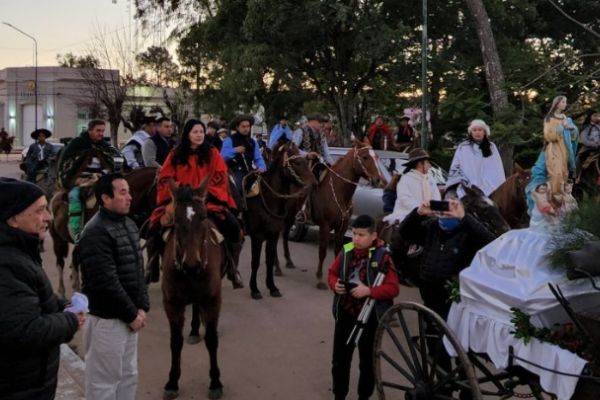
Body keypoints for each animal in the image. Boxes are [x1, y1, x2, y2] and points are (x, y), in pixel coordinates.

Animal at [161, 178, 224, 400]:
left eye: (203, 216)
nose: (191, 265)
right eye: (177, 219)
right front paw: (172, 381)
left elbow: (212, 340)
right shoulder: (171, 304)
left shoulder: (213, 301)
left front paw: (215, 382)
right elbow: (175, 341)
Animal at [244, 142, 318, 298]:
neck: (266, 201)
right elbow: (255, 262)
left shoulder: (273, 234)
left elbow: (269, 259)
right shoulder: (257, 237)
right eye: (297, 163)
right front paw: (254, 289)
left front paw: (272, 287)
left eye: (305, 161)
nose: (314, 184)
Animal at [278, 139, 382, 290]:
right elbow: (322, 251)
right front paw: (320, 279)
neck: (339, 191)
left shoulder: (342, 226)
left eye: (377, 157)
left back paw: (289, 261)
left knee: (285, 234)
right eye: (365, 157)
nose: (378, 179)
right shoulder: (325, 225)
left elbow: (338, 250)